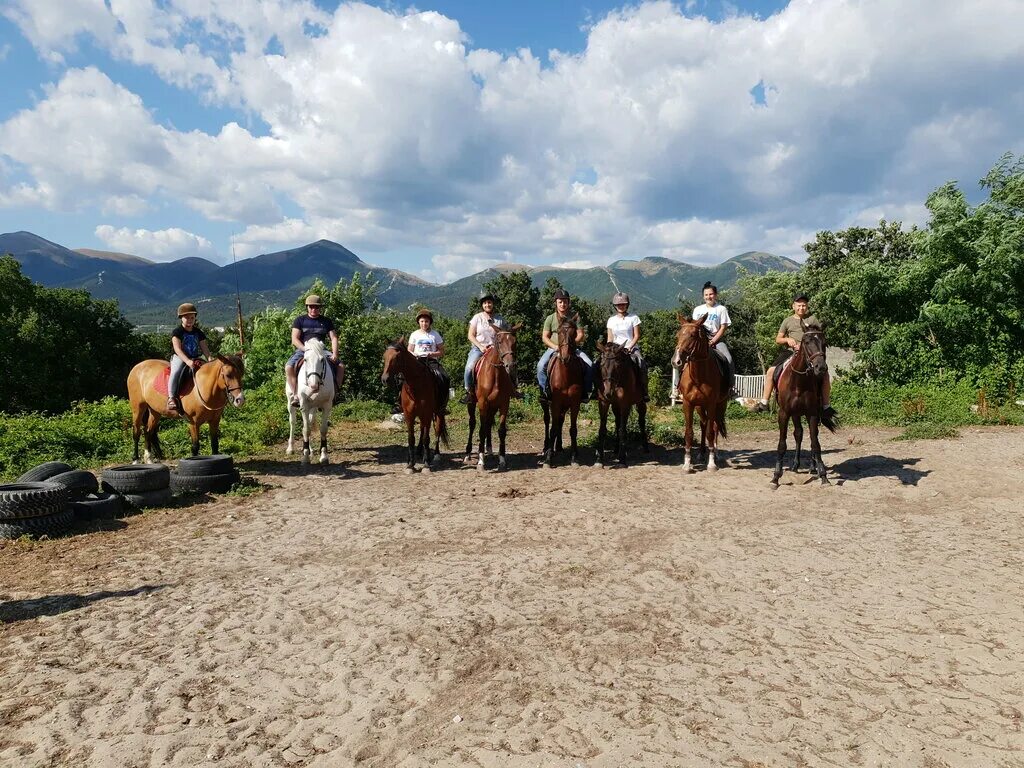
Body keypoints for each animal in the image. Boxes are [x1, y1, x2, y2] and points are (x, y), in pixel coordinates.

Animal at [382, 339, 450, 473]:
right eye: (384, 356)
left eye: (396, 357)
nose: (384, 379)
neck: (416, 386)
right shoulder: (409, 415)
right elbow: (411, 438)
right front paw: (410, 464)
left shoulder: (427, 413)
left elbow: (426, 438)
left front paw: (426, 465)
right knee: (422, 430)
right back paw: (418, 452)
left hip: (438, 413)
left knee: (437, 431)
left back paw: (436, 455)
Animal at [468, 321, 524, 473]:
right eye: (499, 342)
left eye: (515, 342)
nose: (510, 365)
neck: (495, 375)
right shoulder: (482, 403)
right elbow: (481, 430)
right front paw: (481, 462)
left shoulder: (504, 403)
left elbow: (501, 431)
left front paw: (502, 460)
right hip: (473, 404)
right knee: (473, 423)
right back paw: (468, 454)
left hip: (492, 407)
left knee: (488, 424)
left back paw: (489, 450)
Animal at [540, 313, 589, 468]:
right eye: (559, 332)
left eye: (574, 333)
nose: (566, 357)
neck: (566, 375)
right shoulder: (555, 402)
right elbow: (553, 428)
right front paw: (548, 459)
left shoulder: (574, 403)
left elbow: (572, 429)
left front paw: (574, 457)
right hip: (546, 403)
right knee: (548, 421)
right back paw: (546, 447)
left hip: (565, 405)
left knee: (560, 421)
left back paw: (559, 447)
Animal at [671, 313, 729, 473]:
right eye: (678, 335)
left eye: (693, 335)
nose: (676, 361)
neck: (698, 376)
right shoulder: (688, 403)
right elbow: (689, 433)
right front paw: (687, 464)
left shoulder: (711, 403)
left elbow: (710, 432)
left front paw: (711, 464)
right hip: (699, 406)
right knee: (703, 424)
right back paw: (702, 453)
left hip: (720, 405)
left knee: (714, 426)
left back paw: (715, 453)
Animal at [770, 323, 835, 487]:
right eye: (806, 342)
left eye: (824, 343)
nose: (821, 368)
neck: (799, 383)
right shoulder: (784, 413)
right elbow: (782, 444)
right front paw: (776, 476)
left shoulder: (812, 414)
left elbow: (815, 444)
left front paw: (823, 475)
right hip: (796, 414)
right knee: (798, 434)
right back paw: (795, 465)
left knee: (811, 437)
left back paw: (813, 467)